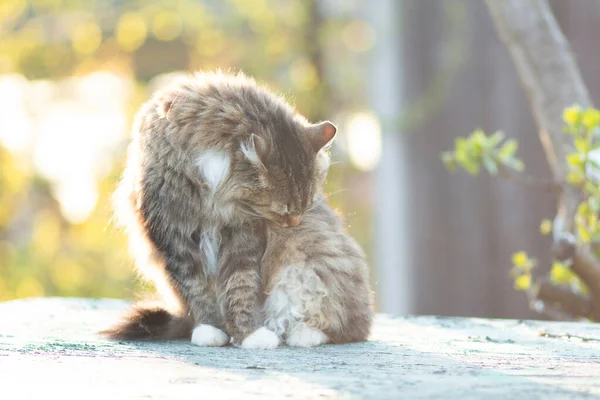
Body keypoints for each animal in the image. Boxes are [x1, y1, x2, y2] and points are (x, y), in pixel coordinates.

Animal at [104, 71, 376, 346]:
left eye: (307, 206)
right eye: (283, 211)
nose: (294, 224)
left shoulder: (242, 232)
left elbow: (240, 287)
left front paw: (249, 335)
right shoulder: (174, 235)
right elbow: (197, 288)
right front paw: (211, 329)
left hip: (309, 270)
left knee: (344, 326)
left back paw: (302, 335)